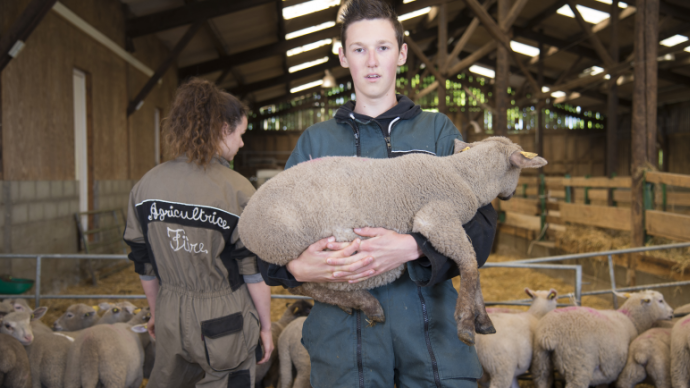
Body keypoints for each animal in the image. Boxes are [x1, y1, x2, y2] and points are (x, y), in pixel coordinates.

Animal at [239, 137, 544, 346]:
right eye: (517, 170)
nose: (509, 196)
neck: (465, 176)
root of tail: (244, 225)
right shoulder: (436, 217)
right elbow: (469, 264)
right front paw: (467, 322)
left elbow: (472, 265)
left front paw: (483, 319)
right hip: (289, 246)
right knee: (303, 284)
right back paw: (364, 303)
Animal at [528, 292, 672, 388]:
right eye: (661, 300)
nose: (672, 313)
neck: (631, 319)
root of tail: (549, 333)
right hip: (578, 365)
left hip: (540, 361)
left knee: (542, 380)